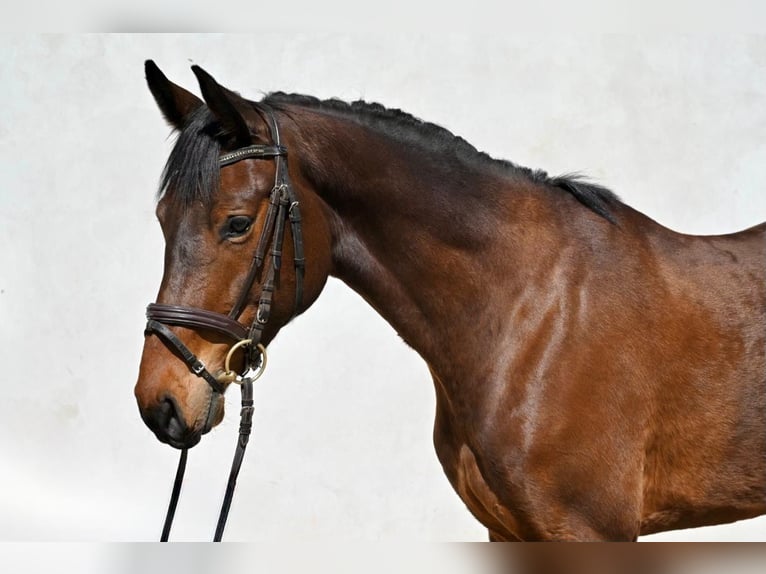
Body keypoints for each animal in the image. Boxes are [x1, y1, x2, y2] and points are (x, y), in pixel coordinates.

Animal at [134, 60, 766, 541]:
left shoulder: (590, 532)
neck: (530, 313)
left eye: (237, 224)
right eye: (162, 219)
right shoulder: (508, 530)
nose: (159, 402)